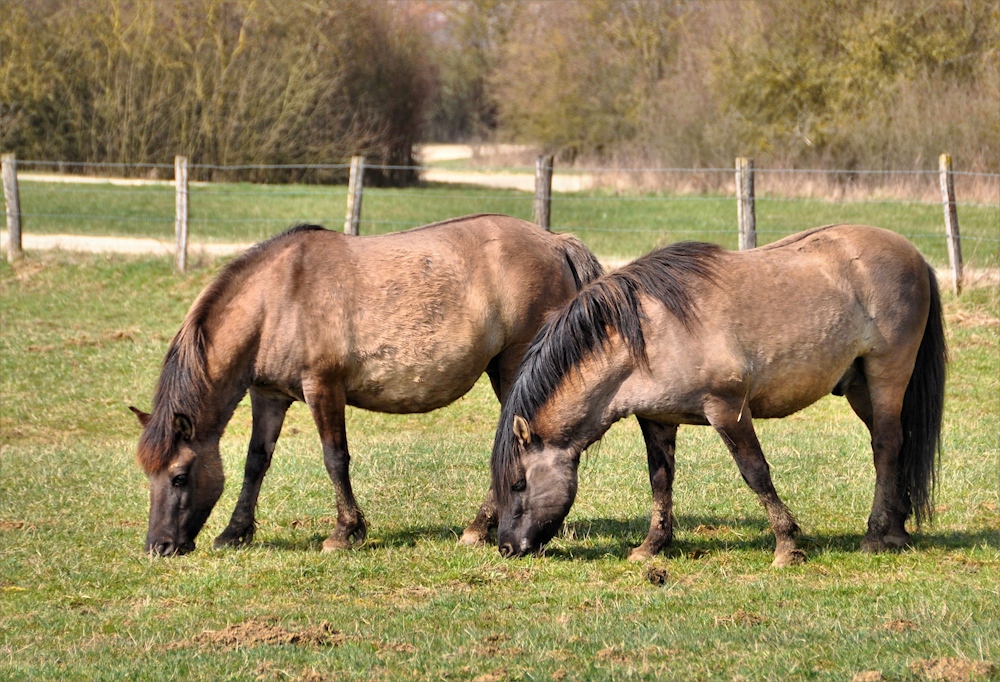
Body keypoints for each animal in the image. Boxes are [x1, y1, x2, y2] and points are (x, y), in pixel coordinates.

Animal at [132, 215, 600, 556]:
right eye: (148, 474)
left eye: (178, 476)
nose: (159, 546)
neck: (277, 298)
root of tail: (556, 242)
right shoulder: (269, 396)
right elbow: (255, 462)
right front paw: (235, 532)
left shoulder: (322, 387)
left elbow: (335, 459)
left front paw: (345, 532)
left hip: (517, 368)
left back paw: (479, 528)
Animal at [492, 223, 944, 564]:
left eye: (518, 483)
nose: (506, 547)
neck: (649, 333)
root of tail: (916, 256)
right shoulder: (657, 419)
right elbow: (661, 481)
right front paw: (651, 546)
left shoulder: (727, 410)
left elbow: (755, 472)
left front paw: (787, 546)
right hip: (859, 386)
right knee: (894, 445)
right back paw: (897, 530)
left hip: (888, 374)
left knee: (886, 444)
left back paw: (875, 535)